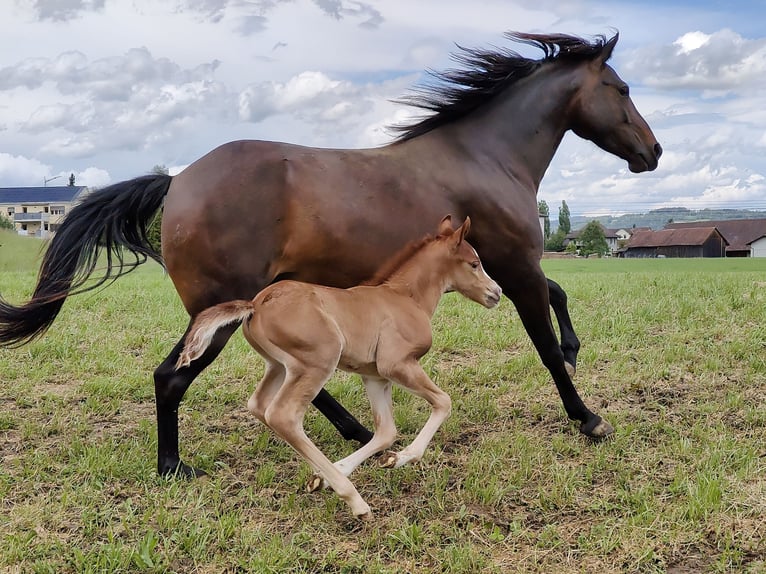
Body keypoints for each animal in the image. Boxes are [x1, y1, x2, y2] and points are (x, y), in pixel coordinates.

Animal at [0, 33, 660, 480]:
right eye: (622, 89)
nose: (652, 152)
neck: (485, 156)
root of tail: (178, 180)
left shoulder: (506, 265)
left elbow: (559, 298)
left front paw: (575, 350)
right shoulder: (514, 264)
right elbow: (544, 342)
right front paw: (588, 417)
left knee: (300, 378)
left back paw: (357, 431)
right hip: (218, 312)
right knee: (173, 377)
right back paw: (174, 468)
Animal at [176, 217, 500, 520]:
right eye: (475, 263)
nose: (495, 293)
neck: (406, 298)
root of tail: (256, 303)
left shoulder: (374, 376)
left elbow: (386, 431)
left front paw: (340, 471)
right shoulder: (397, 364)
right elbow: (443, 402)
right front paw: (402, 458)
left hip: (279, 366)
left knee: (258, 405)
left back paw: (327, 478)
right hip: (319, 360)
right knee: (283, 415)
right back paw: (355, 500)